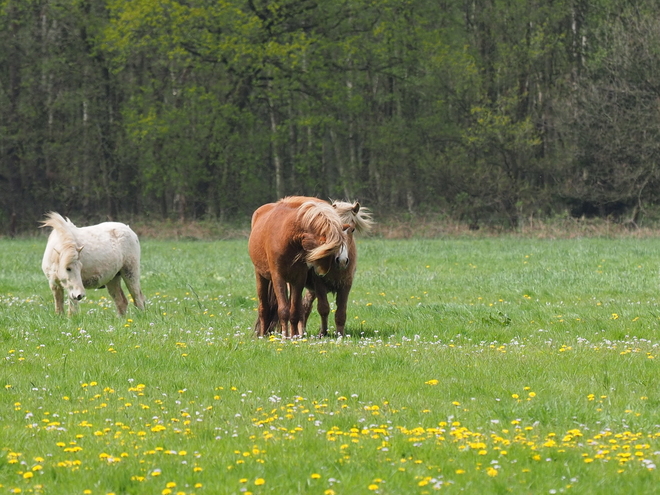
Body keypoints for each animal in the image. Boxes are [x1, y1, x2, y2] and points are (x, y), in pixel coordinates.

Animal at [249, 196, 350, 340]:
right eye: (329, 250)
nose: (322, 273)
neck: (288, 239)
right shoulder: (278, 277)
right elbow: (283, 310)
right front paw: (285, 337)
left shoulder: (298, 279)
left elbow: (295, 310)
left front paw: (294, 337)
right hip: (261, 276)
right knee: (263, 307)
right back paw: (262, 335)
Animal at [302, 201, 374, 338]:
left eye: (352, 229)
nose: (342, 260)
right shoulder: (319, 284)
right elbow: (323, 308)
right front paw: (323, 333)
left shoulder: (346, 285)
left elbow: (341, 311)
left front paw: (340, 334)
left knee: (305, 305)